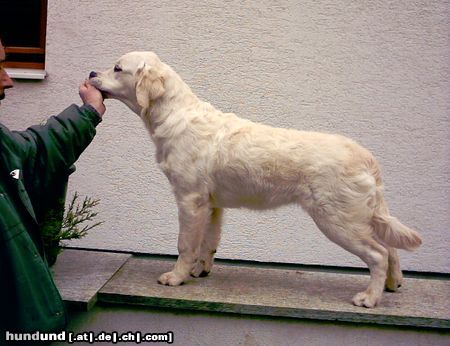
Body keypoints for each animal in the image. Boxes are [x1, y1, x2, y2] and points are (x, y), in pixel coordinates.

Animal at [90, 52, 422, 308]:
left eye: (117, 68)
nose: (91, 72)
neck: (174, 114)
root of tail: (365, 156)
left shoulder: (189, 199)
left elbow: (186, 244)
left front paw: (176, 277)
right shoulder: (211, 205)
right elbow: (208, 242)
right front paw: (200, 271)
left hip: (338, 220)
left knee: (378, 253)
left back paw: (369, 298)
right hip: (361, 216)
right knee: (390, 248)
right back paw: (392, 285)